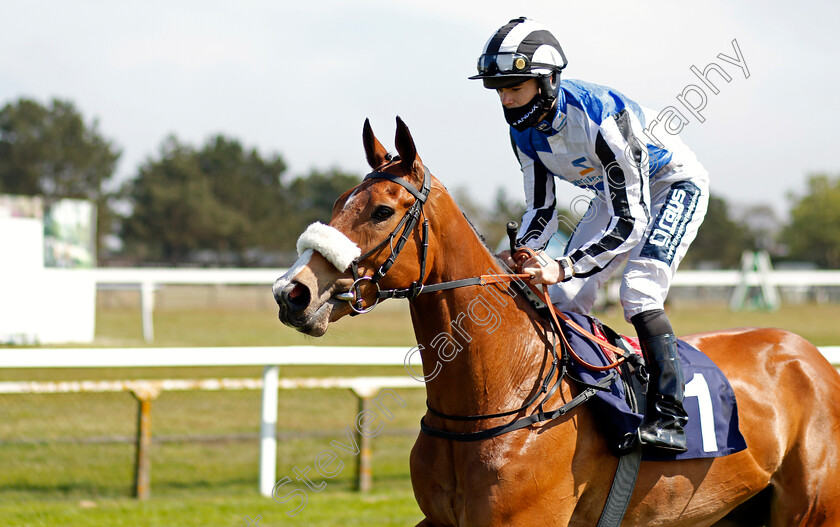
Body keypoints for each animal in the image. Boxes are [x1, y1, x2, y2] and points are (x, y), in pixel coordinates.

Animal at [274, 117, 840, 524]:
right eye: (338, 203)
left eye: (382, 212)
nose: (292, 293)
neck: (496, 395)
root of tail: (810, 358)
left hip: (812, 511)